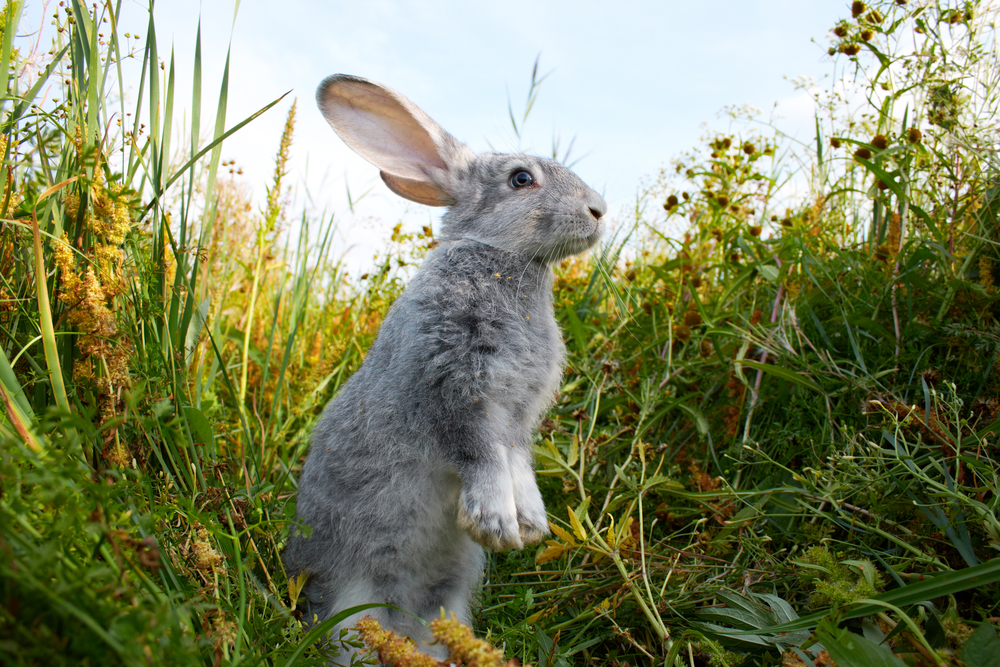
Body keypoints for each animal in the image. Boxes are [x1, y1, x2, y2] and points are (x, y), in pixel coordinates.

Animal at [284, 74, 608, 664]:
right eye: (521, 179)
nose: (599, 210)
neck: (503, 262)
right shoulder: (454, 388)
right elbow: (480, 455)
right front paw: (496, 524)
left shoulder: (517, 419)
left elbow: (517, 464)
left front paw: (530, 524)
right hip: (352, 608)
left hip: (449, 601)